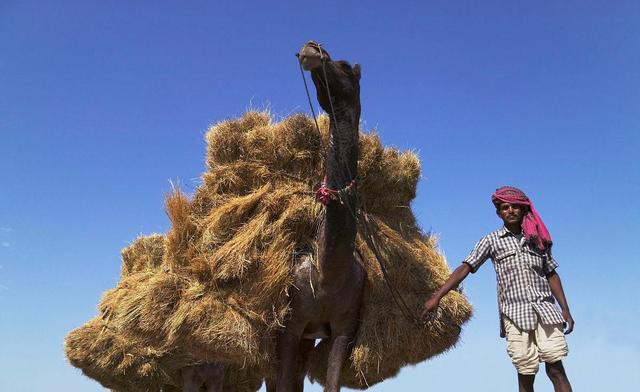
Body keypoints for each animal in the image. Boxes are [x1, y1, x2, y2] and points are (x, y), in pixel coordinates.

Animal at [276, 40, 364, 392]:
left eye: (344, 65)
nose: (311, 49)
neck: (328, 269)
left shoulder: (345, 328)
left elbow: (332, 383)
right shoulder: (289, 325)